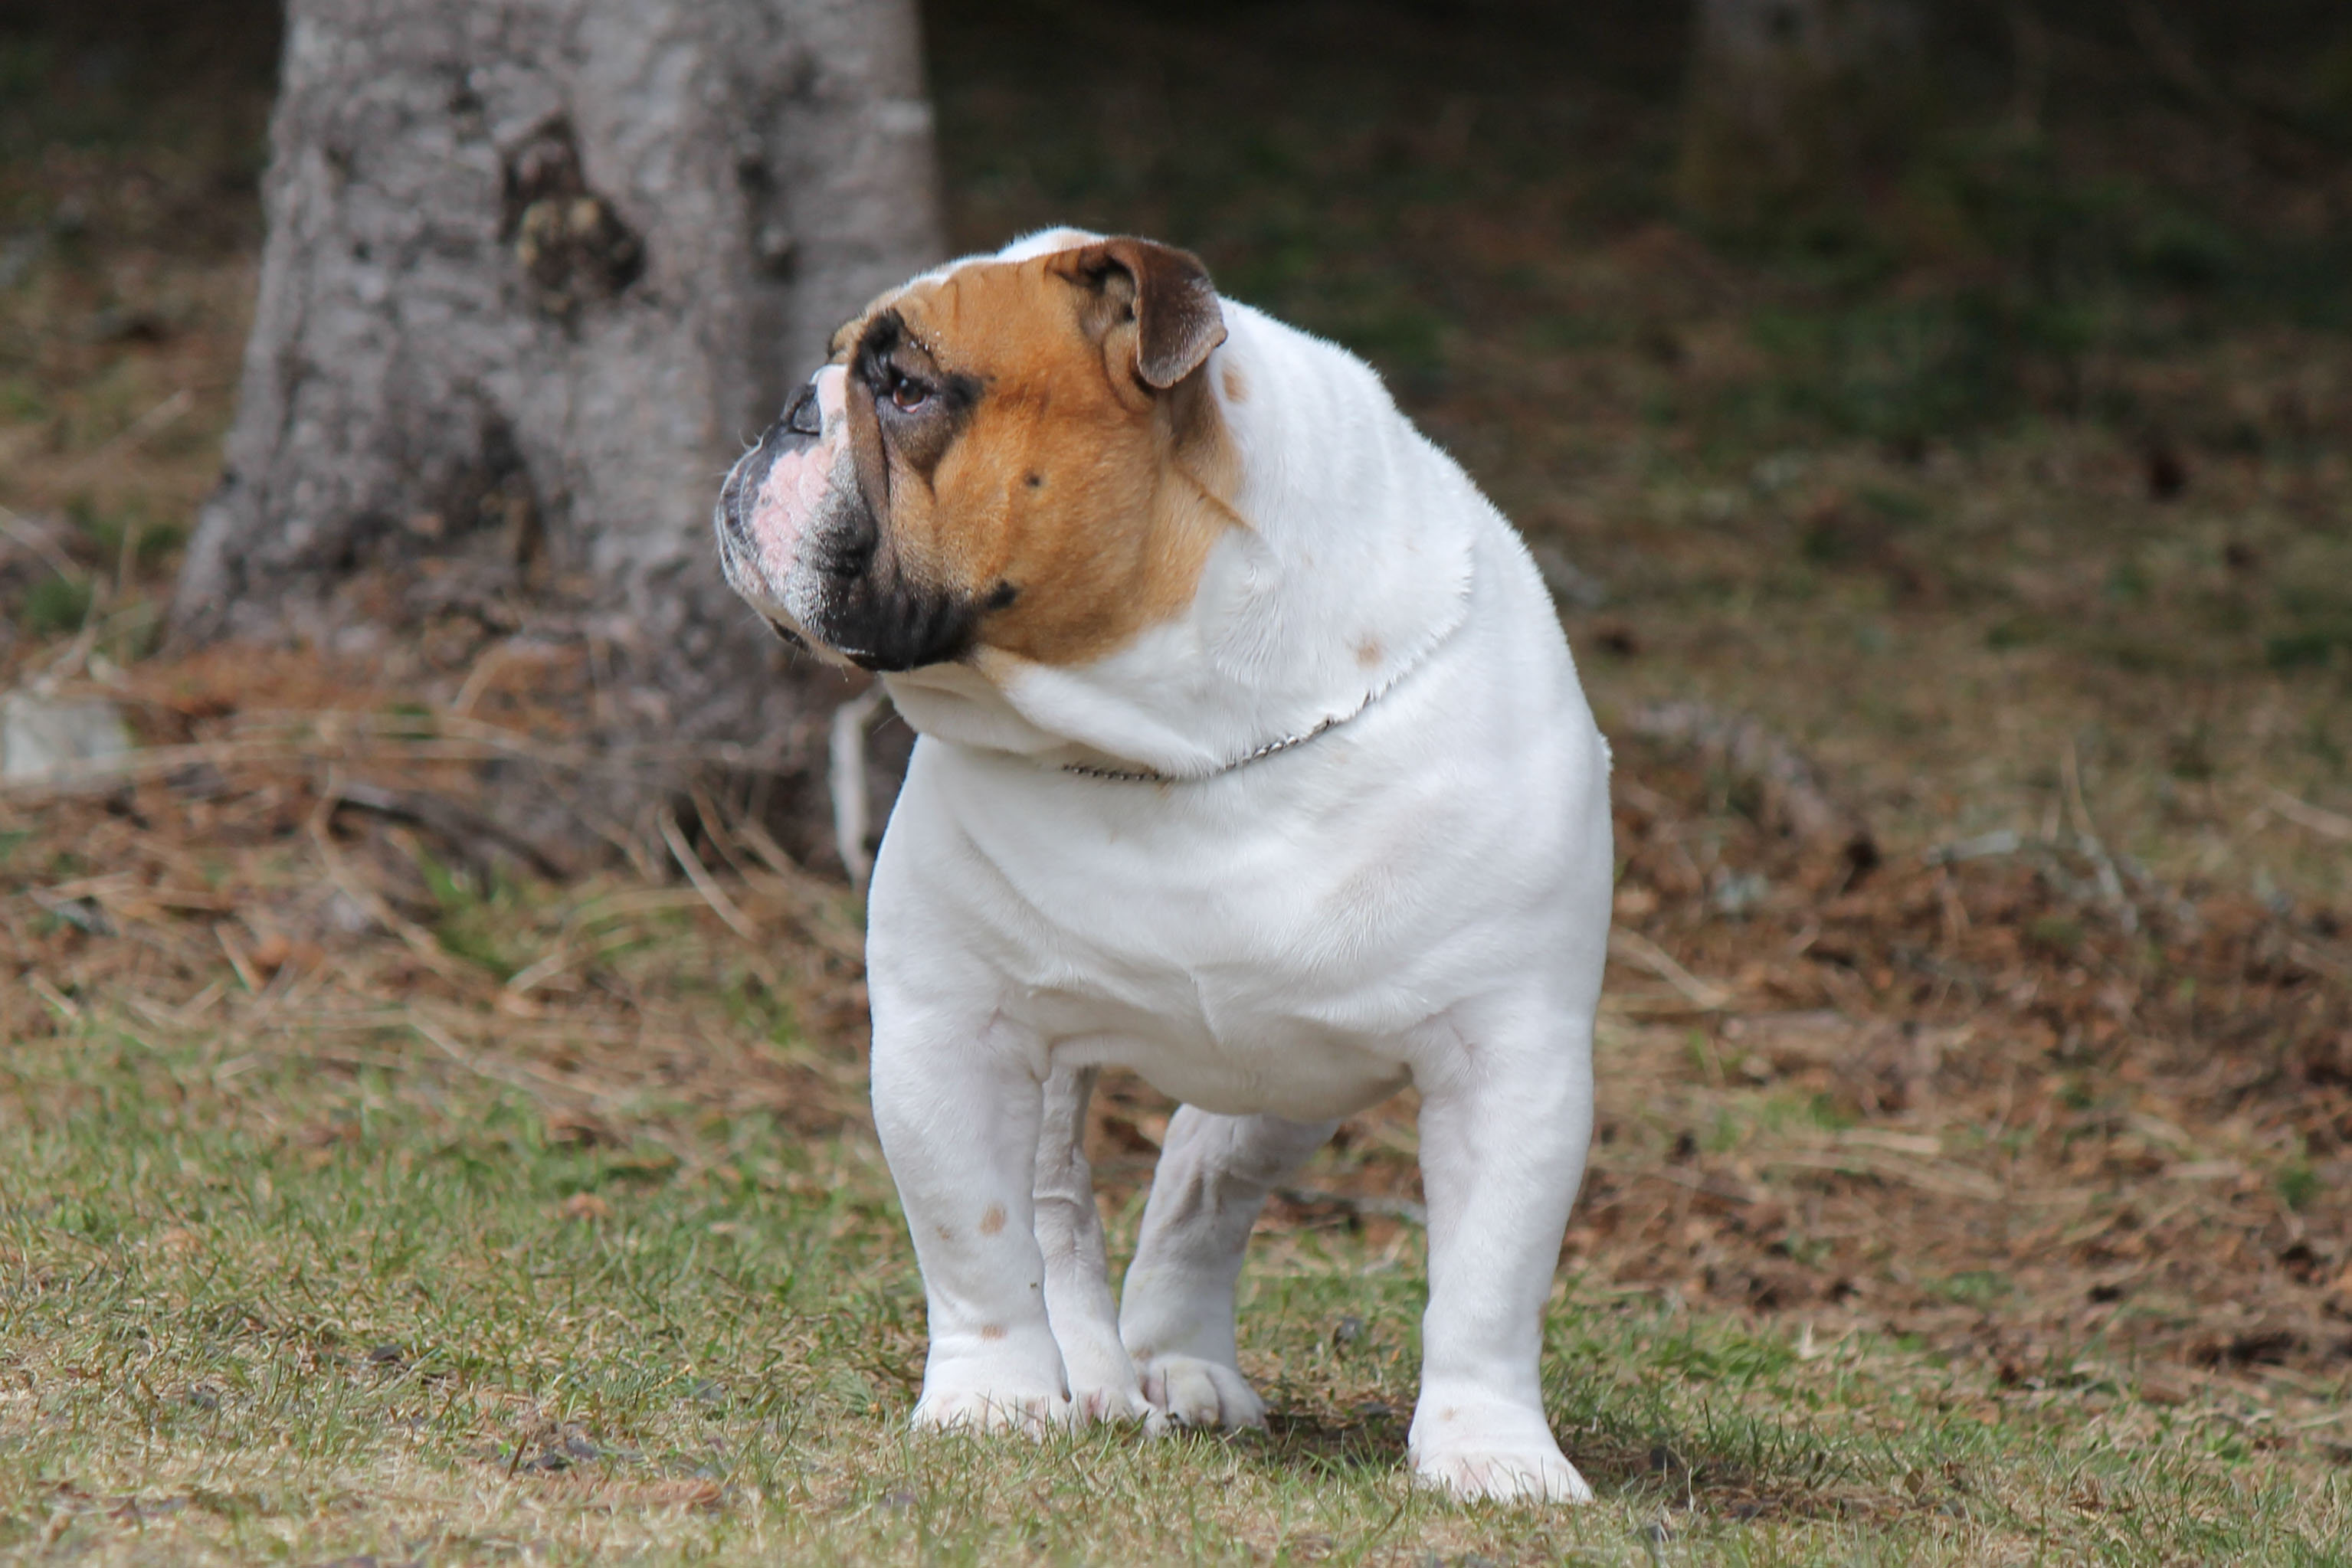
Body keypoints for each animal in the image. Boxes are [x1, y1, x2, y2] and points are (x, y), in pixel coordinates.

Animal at [706, 230, 1608, 1494]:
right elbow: (977, 1235)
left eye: (905, 386)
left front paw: (1493, 1456)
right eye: (844, 370)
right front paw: (994, 1398)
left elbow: (1488, 1283)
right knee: (1056, 1200)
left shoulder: (1511, 1059)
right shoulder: (951, 1028)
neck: (1175, 738)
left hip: (1296, 1070)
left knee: (1202, 1181)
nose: (792, 407)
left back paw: (1179, 1362)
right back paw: (1089, 1367)